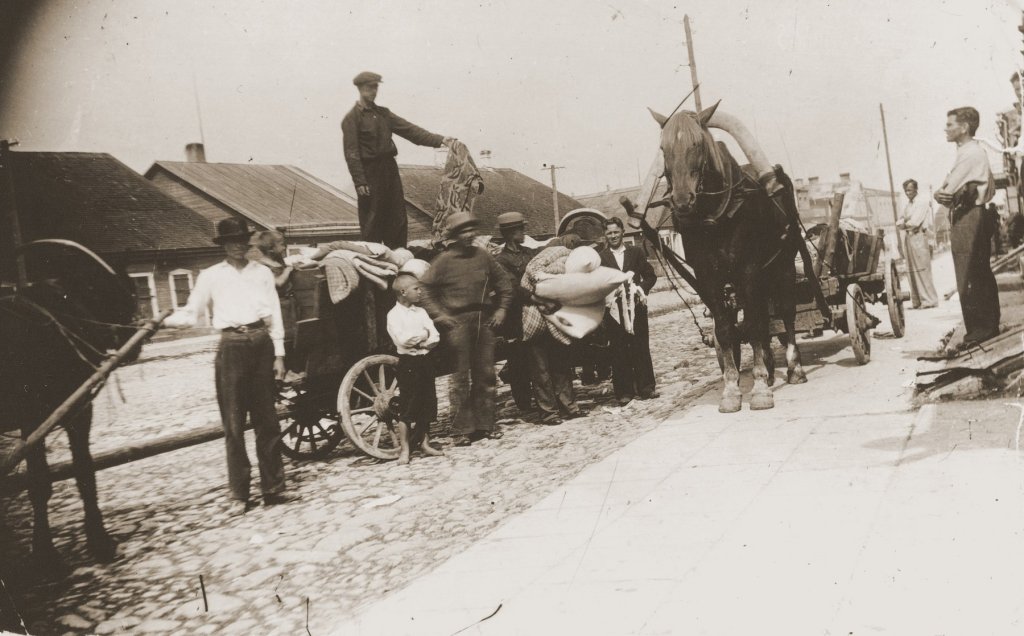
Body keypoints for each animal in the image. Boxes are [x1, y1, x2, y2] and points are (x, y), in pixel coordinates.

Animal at [647, 101, 806, 411]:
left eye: (697, 143)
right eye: (662, 148)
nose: (682, 201)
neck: (716, 216)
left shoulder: (749, 270)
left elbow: (755, 326)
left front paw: (759, 389)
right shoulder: (708, 277)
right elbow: (725, 329)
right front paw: (732, 389)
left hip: (782, 264)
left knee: (786, 313)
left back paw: (794, 368)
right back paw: (770, 368)